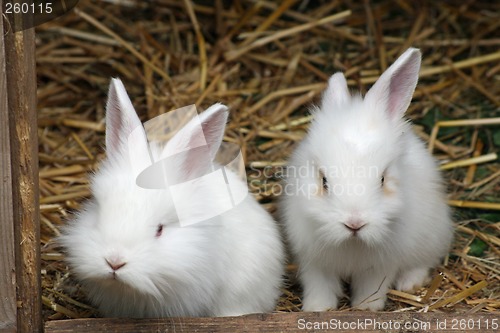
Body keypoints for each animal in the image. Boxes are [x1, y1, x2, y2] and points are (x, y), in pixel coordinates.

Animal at [282, 48, 454, 310]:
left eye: (382, 180)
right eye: (324, 181)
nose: (354, 224)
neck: (352, 243)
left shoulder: (380, 266)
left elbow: (371, 289)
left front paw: (365, 309)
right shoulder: (314, 262)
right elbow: (320, 287)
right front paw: (317, 309)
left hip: (432, 235)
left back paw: (409, 283)